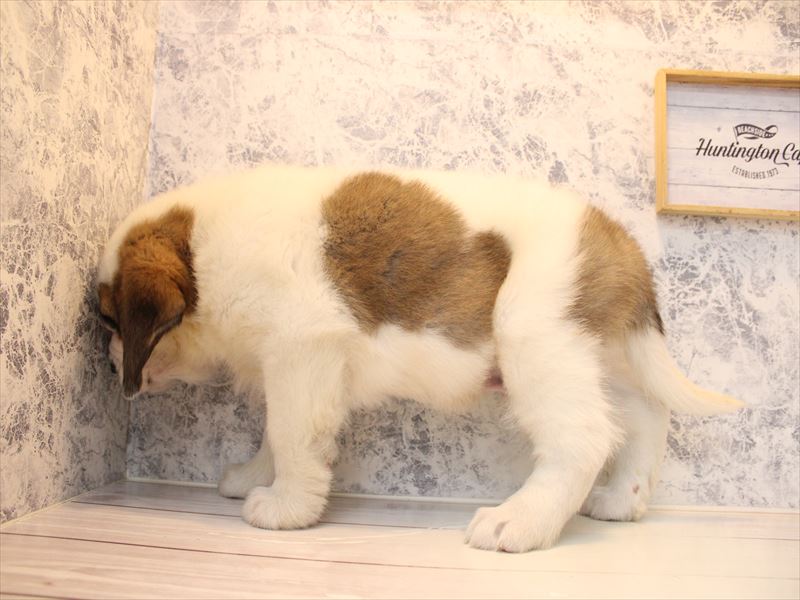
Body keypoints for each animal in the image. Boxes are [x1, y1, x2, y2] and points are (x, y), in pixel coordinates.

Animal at [97, 165, 742, 552]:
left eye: (109, 320)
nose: (108, 365)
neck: (202, 254)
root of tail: (619, 241)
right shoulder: (293, 367)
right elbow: (274, 433)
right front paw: (258, 476)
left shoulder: (303, 350)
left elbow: (291, 433)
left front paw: (284, 508)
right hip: (597, 353)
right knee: (644, 417)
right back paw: (621, 502)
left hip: (536, 335)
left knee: (583, 437)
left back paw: (520, 521)